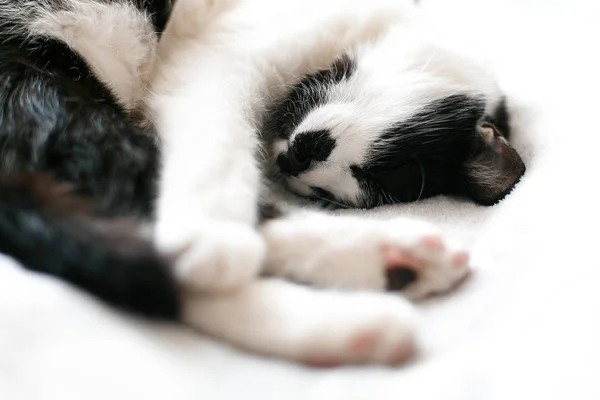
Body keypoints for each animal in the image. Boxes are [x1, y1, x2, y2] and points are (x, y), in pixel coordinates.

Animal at [0, 0, 524, 366]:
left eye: (364, 182)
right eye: (375, 169)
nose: (299, 161)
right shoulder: (219, 56)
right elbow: (220, 141)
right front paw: (213, 235)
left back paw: (373, 302)